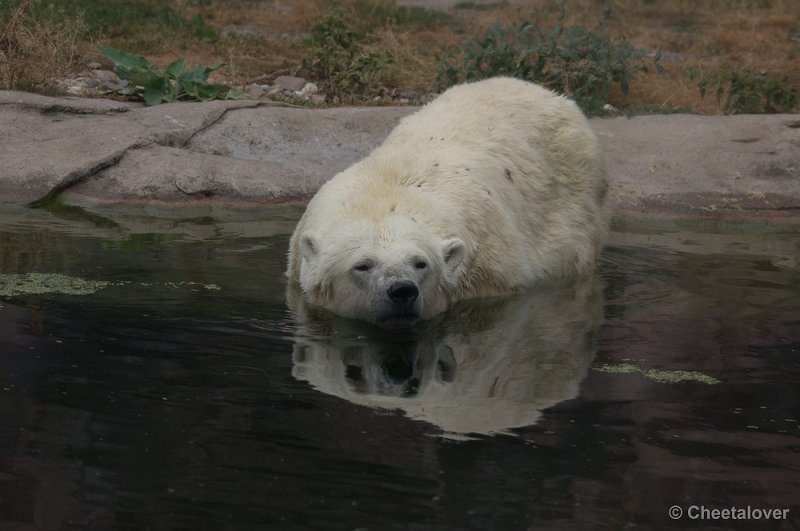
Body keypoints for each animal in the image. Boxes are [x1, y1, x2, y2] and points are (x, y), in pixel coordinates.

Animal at [288, 76, 608, 326]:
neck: (385, 192)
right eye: (362, 265)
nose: (402, 291)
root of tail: (548, 93)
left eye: (420, 263)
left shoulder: (489, 277)